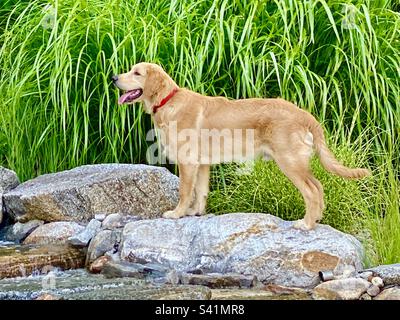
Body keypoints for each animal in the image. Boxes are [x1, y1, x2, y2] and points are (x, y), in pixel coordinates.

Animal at [111, 63, 368, 230]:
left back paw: (305, 225)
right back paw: (316, 219)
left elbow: (185, 191)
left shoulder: (188, 161)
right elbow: (201, 191)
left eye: (136, 73)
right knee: (319, 186)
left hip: (290, 162)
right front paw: (195, 213)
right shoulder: (202, 164)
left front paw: (176, 214)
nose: (113, 78)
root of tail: (304, 114)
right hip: (298, 162)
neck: (168, 101)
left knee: (311, 191)